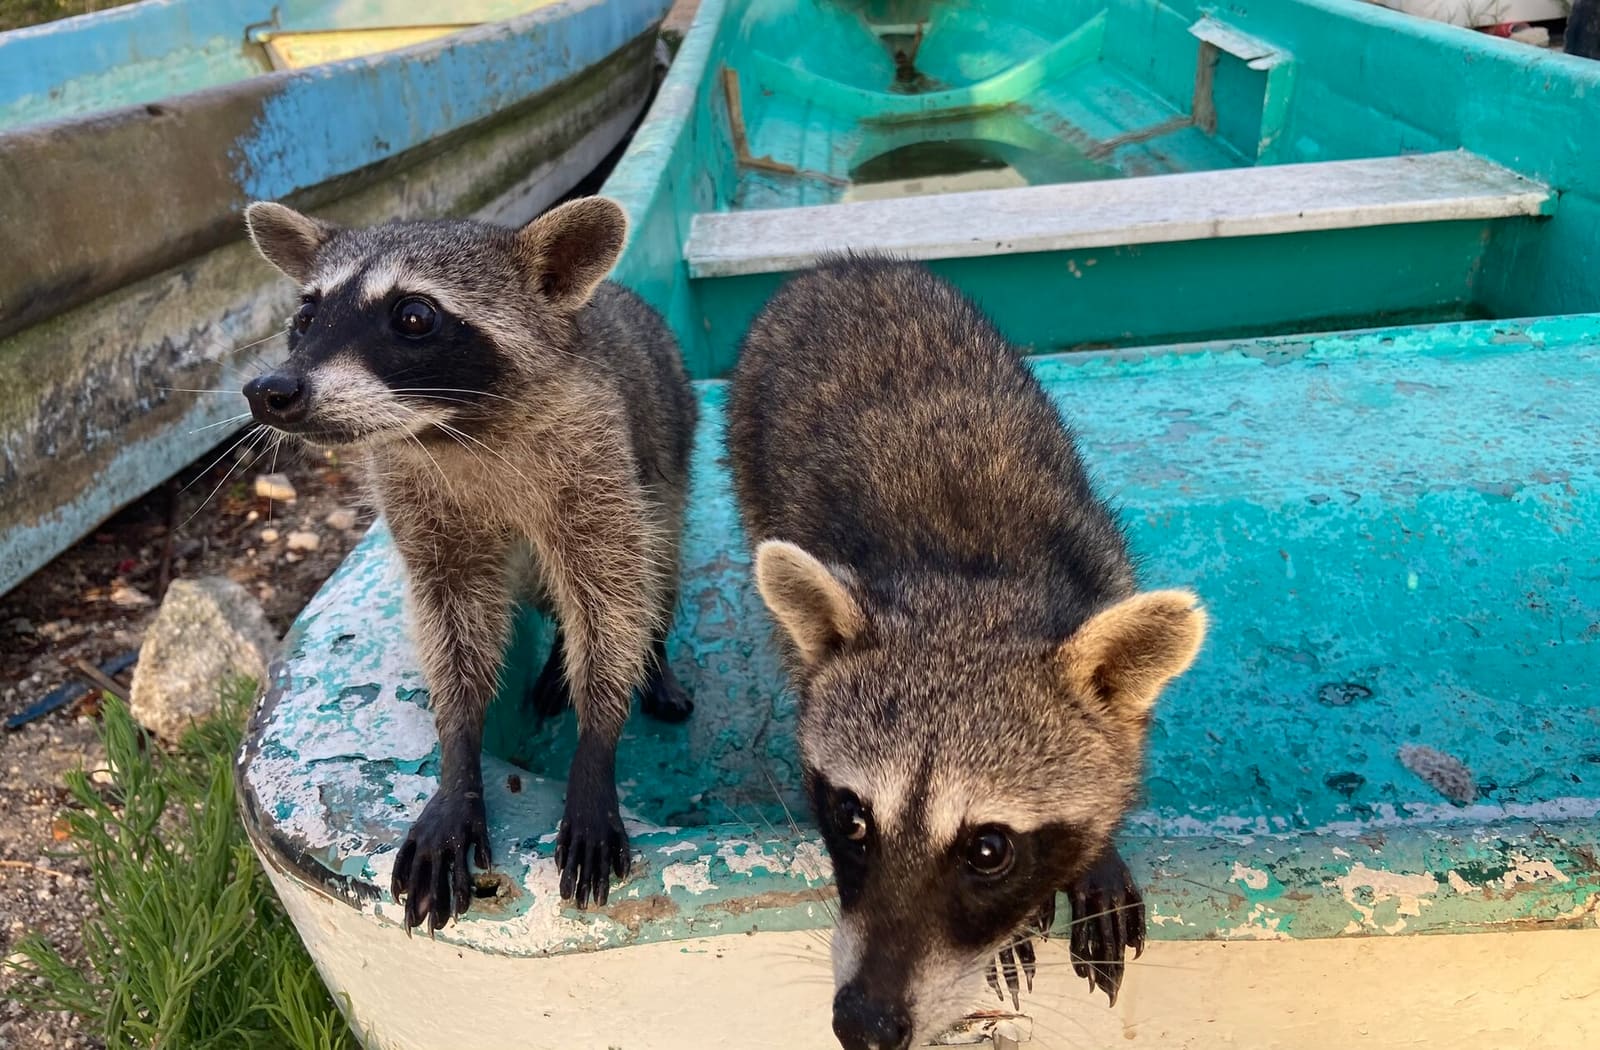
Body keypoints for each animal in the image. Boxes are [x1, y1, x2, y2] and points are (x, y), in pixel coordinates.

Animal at [241, 197, 697, 927]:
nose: (269, 390)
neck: (450, 428)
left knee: (656, 566)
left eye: (413, 316)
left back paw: (652, 658)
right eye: (306, 316)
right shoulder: (416, 497)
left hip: (666, 456)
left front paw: (597, 742)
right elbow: (452, 619)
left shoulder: (594, 459)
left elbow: (612, 595)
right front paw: (458, 751)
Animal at [725, 257, 1206, 1049]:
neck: (971, 582)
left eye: (988, 849)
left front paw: (1098, 852)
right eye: (851, 817)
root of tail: (840, 264)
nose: (864, 1024)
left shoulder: (1102, 565)